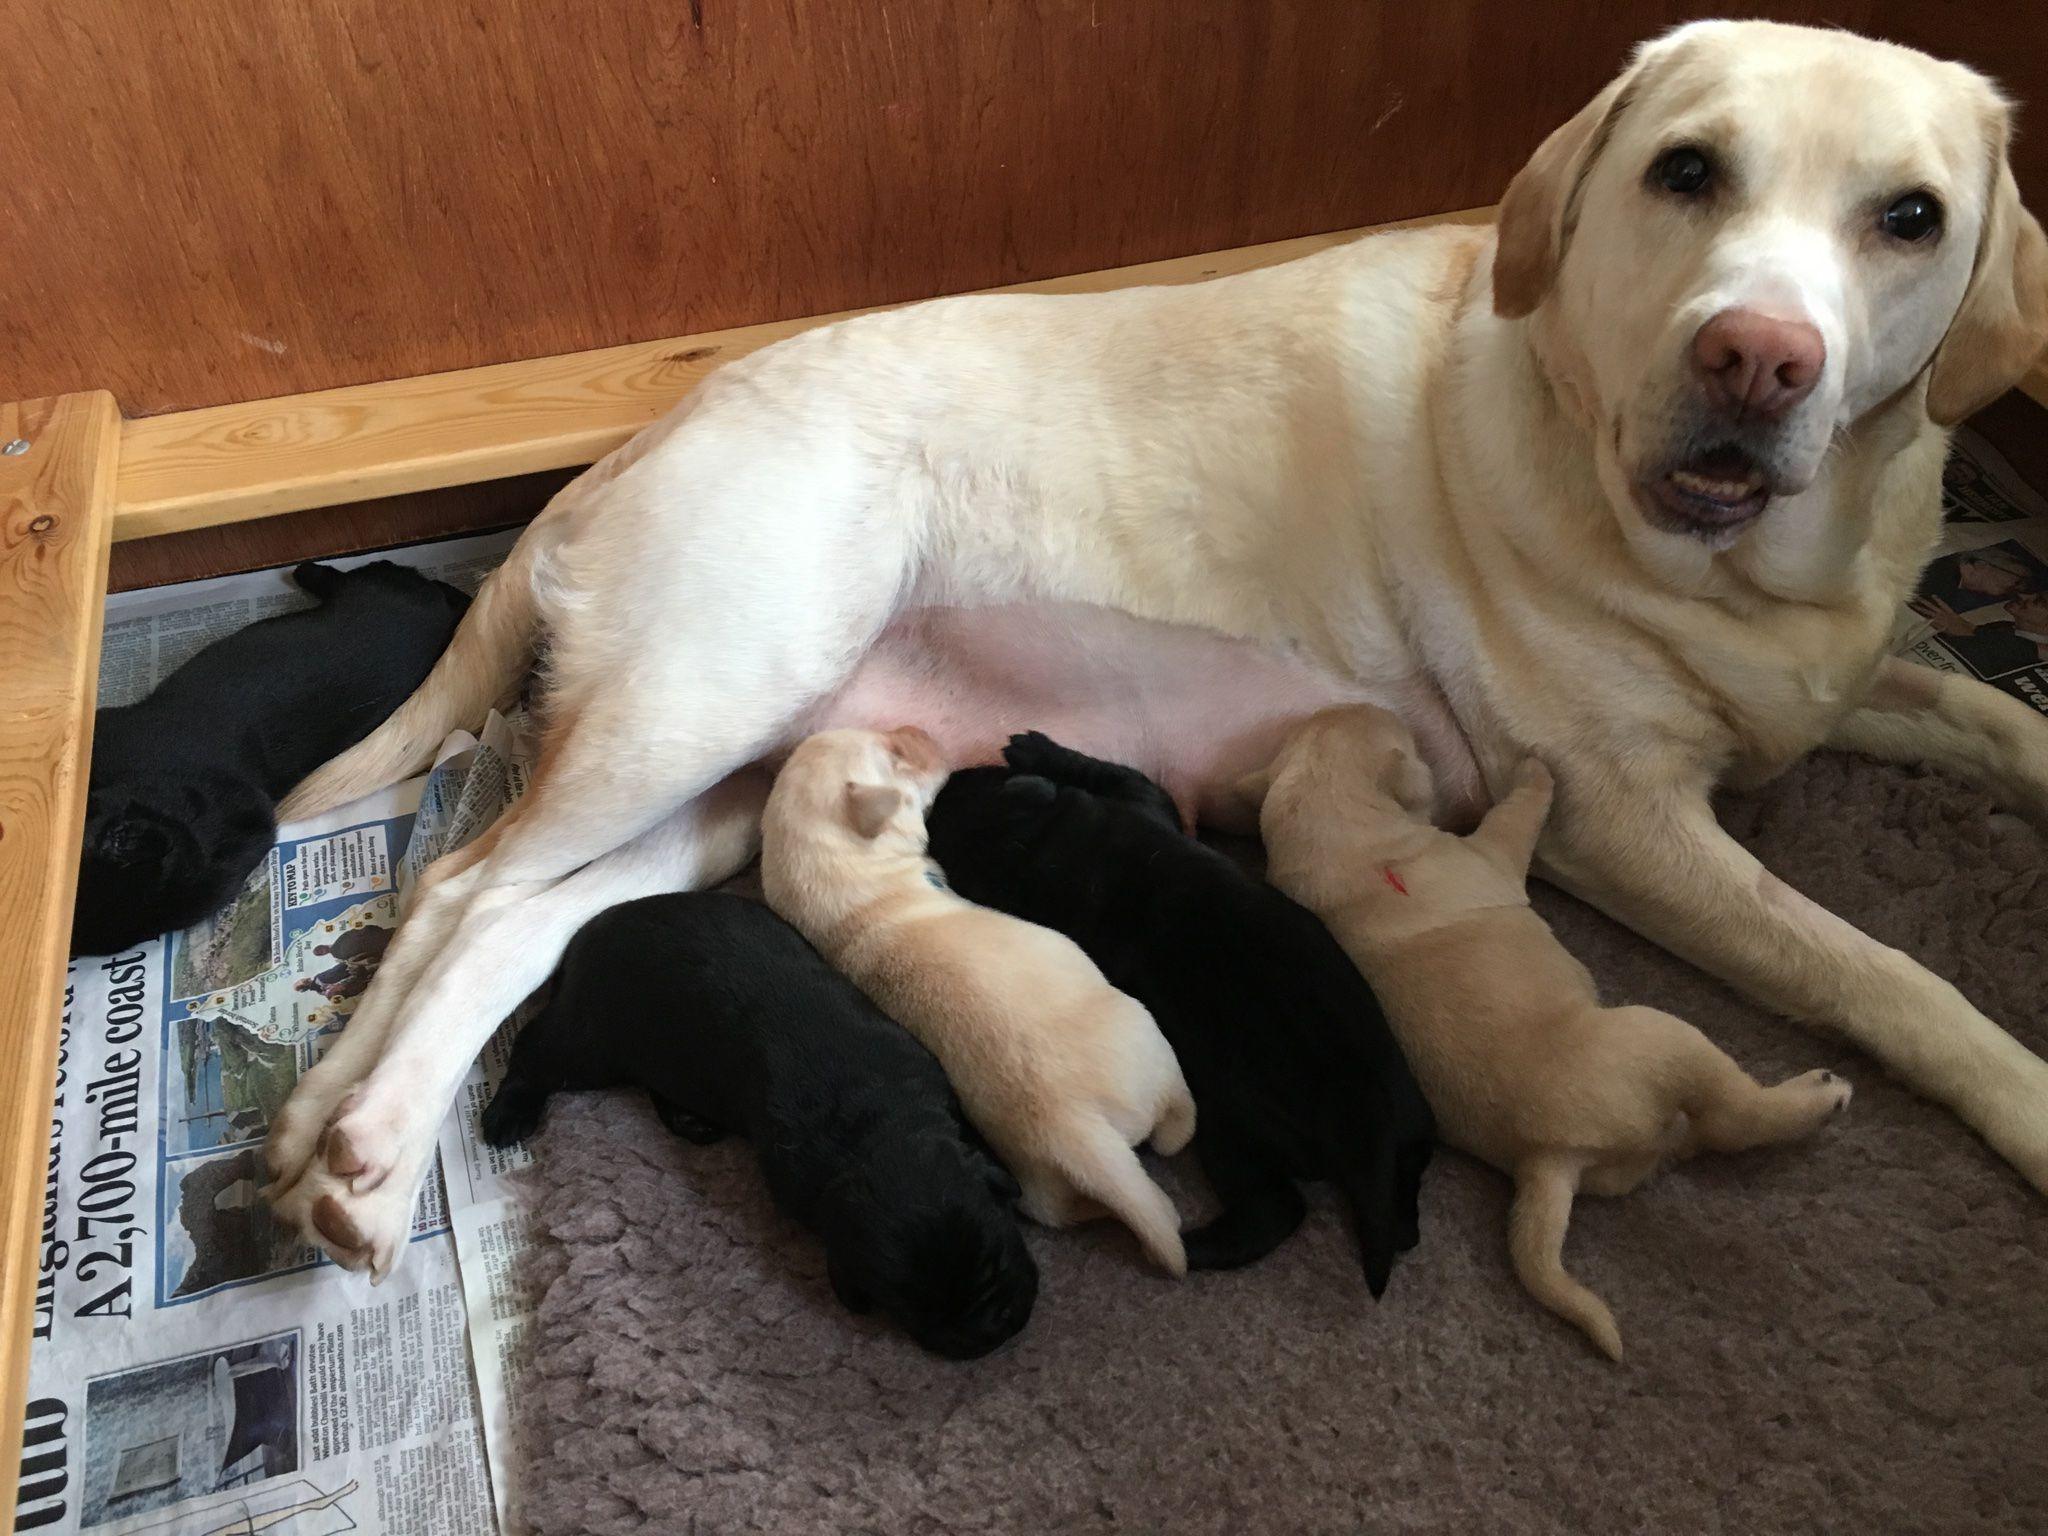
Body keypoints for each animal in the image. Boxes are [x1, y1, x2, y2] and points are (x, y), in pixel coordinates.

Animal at [471, 888, 1032, 1359]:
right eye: (913, 1308)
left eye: (995, 1264)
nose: (987, 1335)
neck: (874, 1129)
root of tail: (581, 942)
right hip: (593, 1039)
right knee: (534, 1047)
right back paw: (506, 1115)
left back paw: (688, 1119)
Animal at [761, 729, 1196, 1277]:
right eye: (897, 757)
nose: (925, 732)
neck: (840, 880)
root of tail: (1072, 1129)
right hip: (1148, 1036)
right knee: (1177, 1125)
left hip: (1047, 1186)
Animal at [929, 733, 1441, 1302]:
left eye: (974, 780)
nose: (943, 785)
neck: (1054, 851)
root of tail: (1360, 1109)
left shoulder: (1139, 802)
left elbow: (1117, 771)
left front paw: (1033, 747)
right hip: (1343, 1126)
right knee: (1330, 1207)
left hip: (1236, 1130)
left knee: (1279, 1210)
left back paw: (1190, 1246)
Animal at [1245, 708, 1859, 1359]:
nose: (1396, 713)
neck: (1338, 840)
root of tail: (1547, 1156)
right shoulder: (1489, 852)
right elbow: (1519, 813)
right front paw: (1537, 771)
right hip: (1662, 1036)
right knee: (1735, 1117)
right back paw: (1816, 1096)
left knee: (1702, 1133)